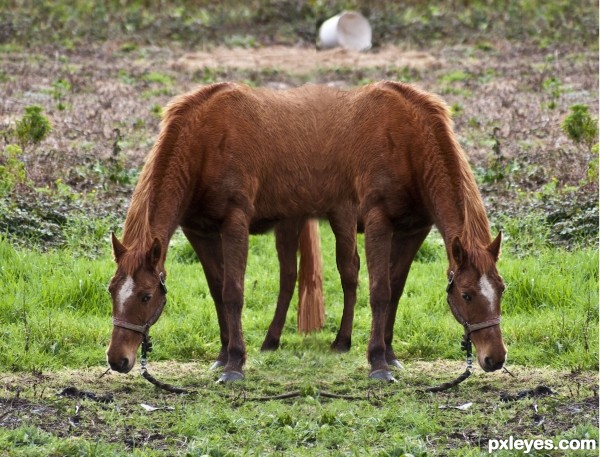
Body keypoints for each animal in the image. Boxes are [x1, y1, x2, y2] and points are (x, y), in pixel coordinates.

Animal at [106, 81, 506, 382]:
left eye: (499, 290)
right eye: (113, 292)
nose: (117, 359)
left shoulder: (410, 228)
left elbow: (388, 289)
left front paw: (384, 357)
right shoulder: (201, 230)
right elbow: (222, 291)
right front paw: (226, 357)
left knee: (337, 273)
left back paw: (336, 341)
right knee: (294, 276)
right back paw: (275, 340)